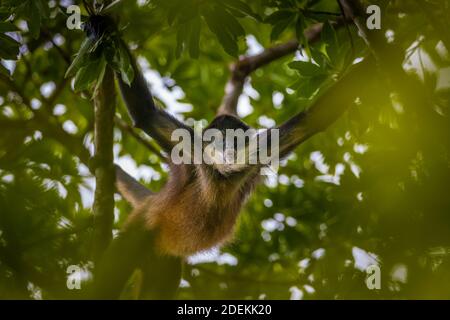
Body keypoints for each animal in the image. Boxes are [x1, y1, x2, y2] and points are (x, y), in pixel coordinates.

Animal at [89, 15, 372, 300]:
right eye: (216, 138)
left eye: (234, 138)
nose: (225, 145)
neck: (221, 176)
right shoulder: (192, 149)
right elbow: (146, 115)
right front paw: (104, 27)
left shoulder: (258, 151)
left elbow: (314, 120)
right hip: (140, 232)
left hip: (164, 261)